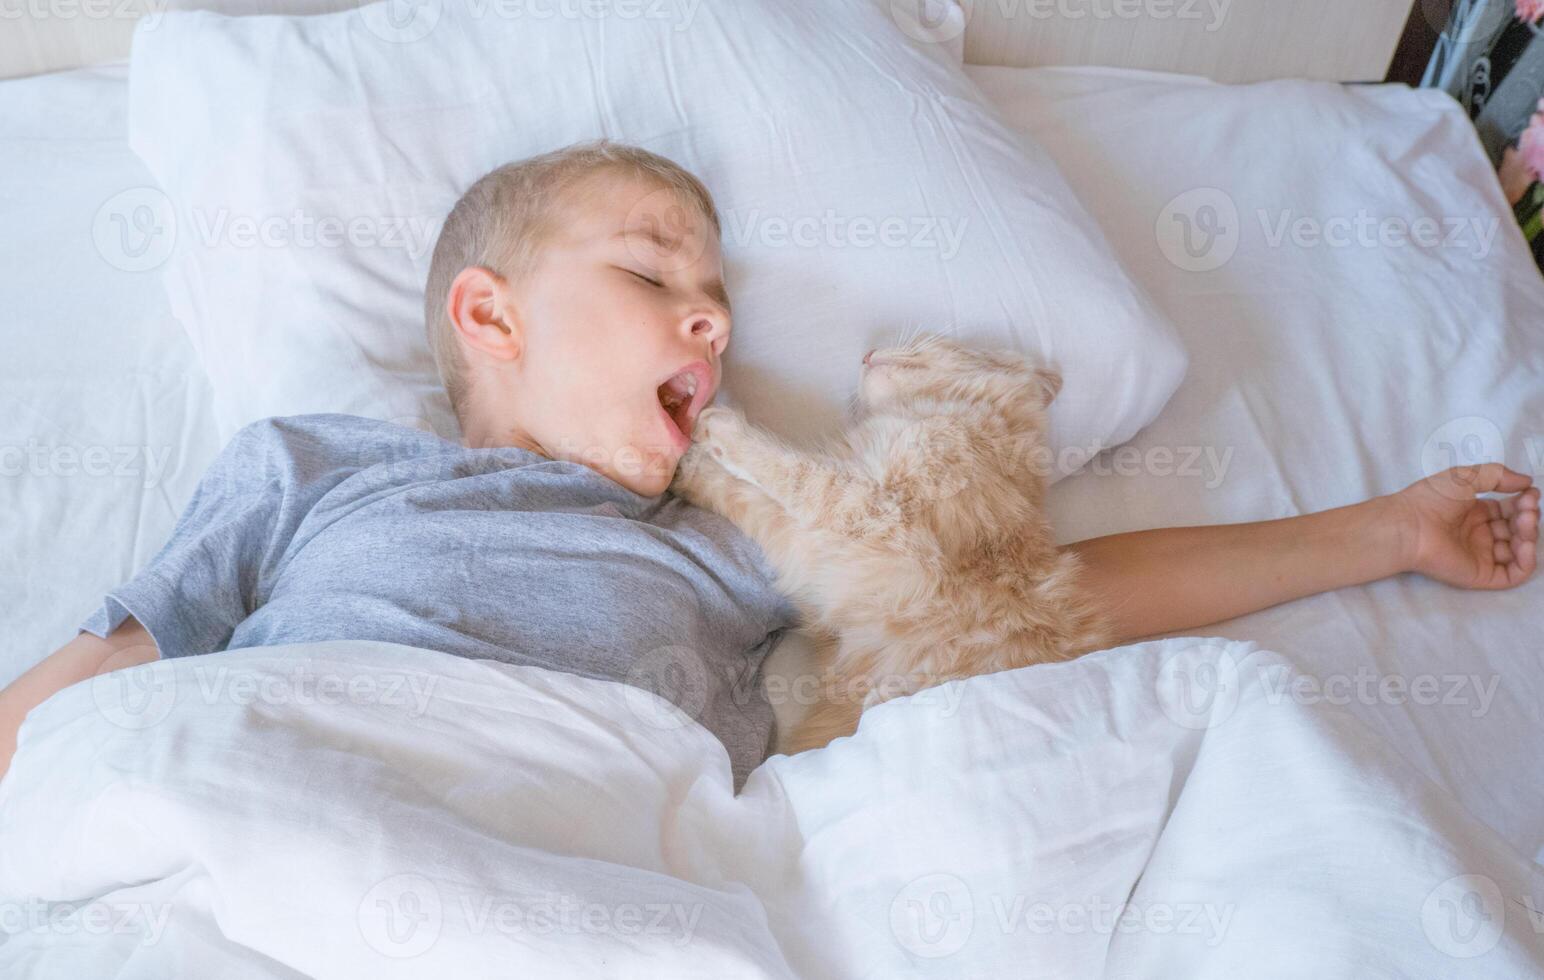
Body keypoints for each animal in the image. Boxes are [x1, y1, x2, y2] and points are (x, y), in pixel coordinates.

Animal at [673, 333, 1111, 756]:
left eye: (939, 339)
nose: (867, 352)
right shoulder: (807, 546)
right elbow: (745, 497)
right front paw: (691, 470)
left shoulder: (876, 507)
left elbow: (792, 468)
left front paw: (719, 428)